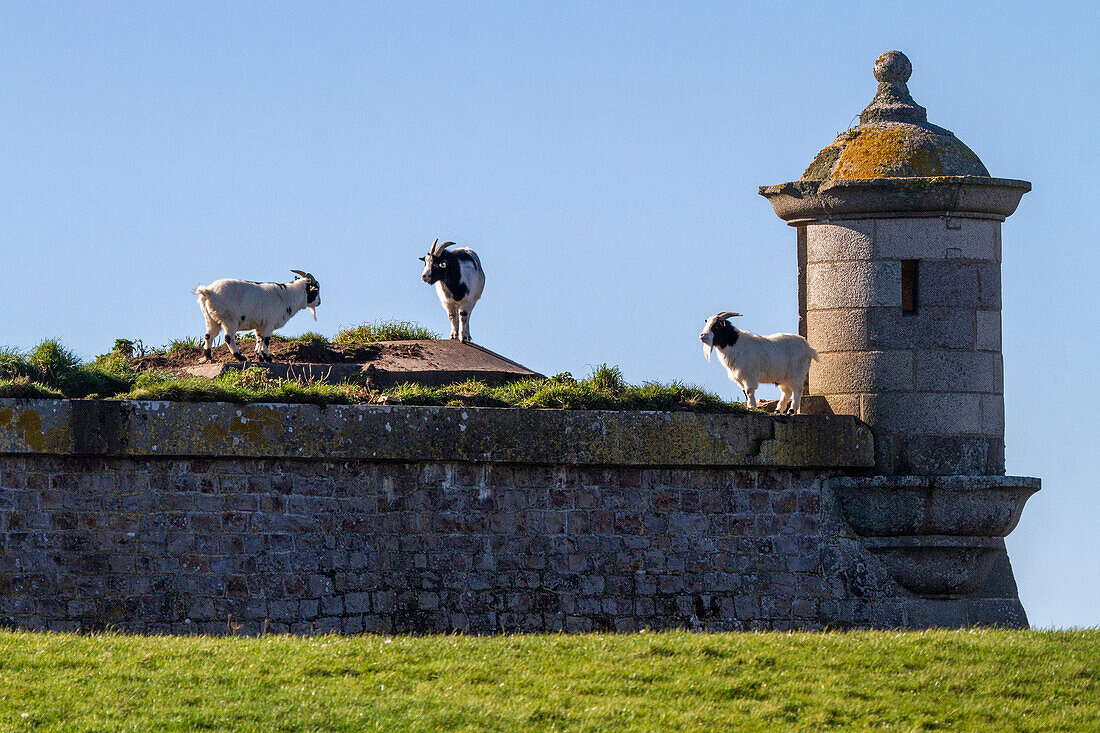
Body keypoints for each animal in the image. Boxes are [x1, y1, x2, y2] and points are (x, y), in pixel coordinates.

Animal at [193, 269, 321, 360]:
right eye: (316, 289)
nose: (319, 302)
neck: (287, 296)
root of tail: (208, 291)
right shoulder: (269, 322)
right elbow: (267, 339)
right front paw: (267, 357)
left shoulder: (260, 325)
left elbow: (259, 339)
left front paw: (259, 356)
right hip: (229, 319)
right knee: (228, 337)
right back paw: (240, 357)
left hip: (210, 318)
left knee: (208, 336)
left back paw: (209, 356)